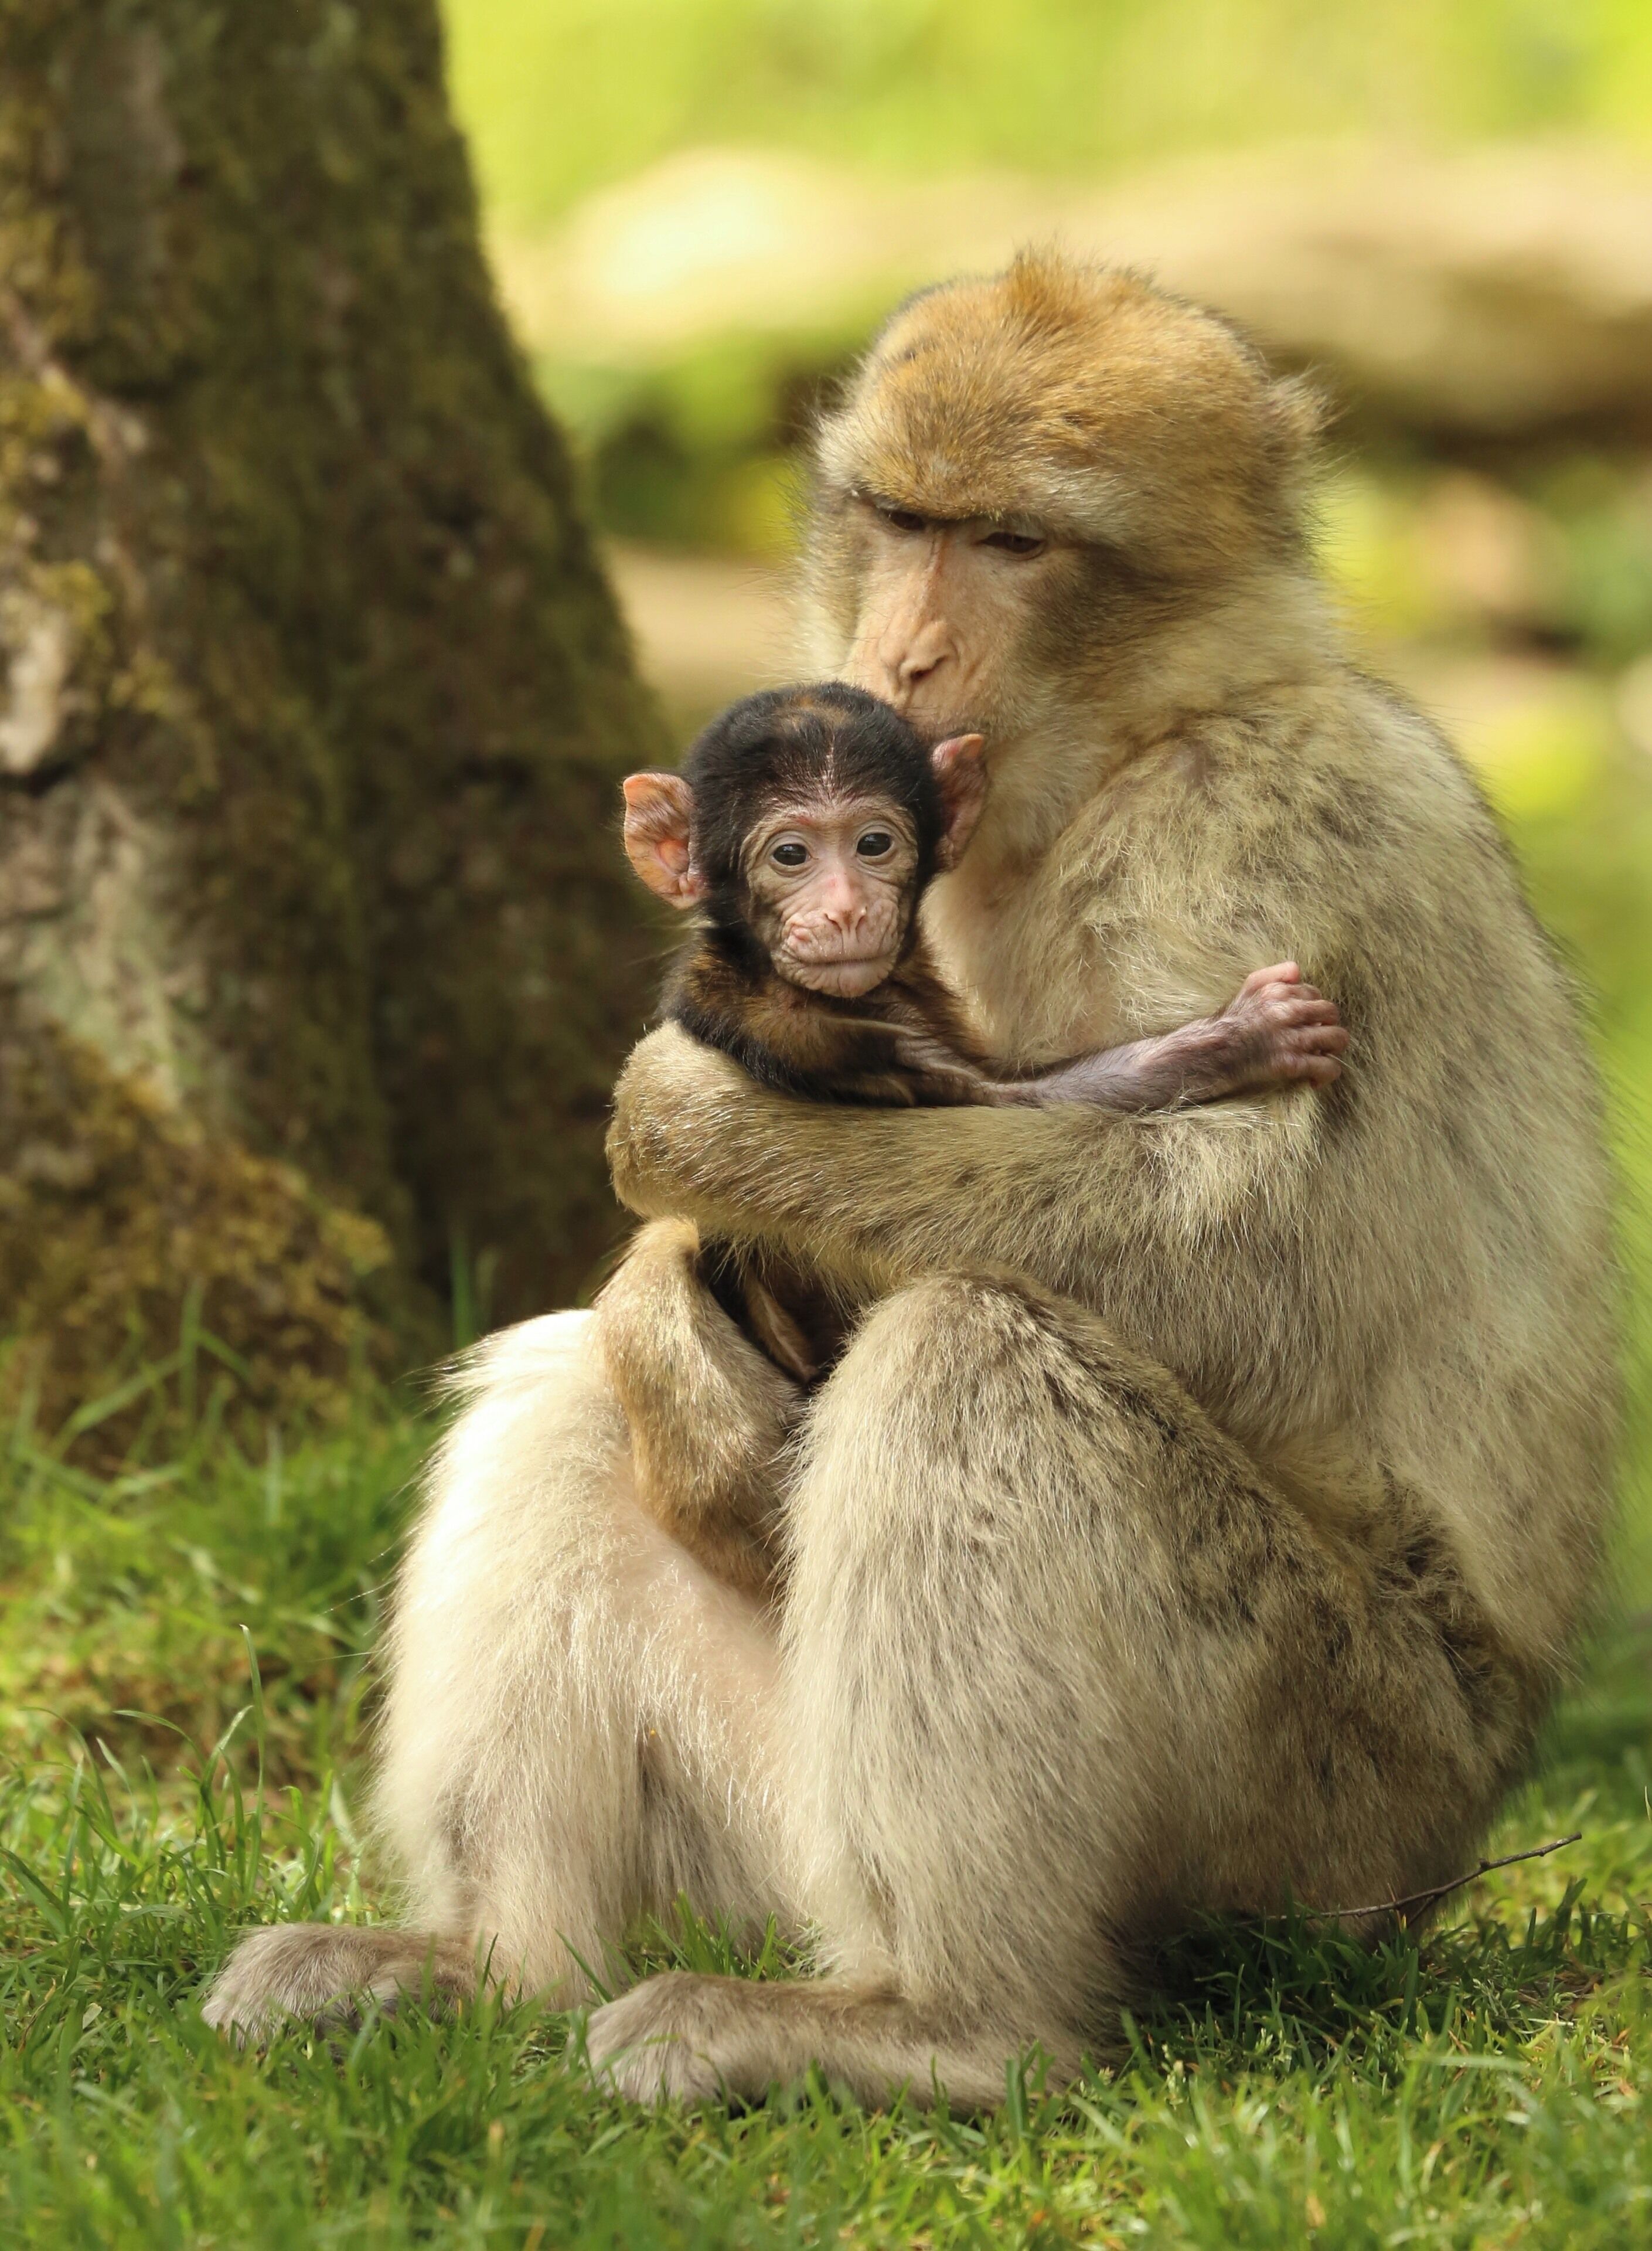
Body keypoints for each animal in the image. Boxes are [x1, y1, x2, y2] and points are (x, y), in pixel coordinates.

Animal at [204, 251, 1616, 2117]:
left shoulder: (1265, 828)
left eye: (1010, 541)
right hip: (767, 1826)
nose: (902, 649)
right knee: (563, 1390)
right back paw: (490, 1962)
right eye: (898, 519)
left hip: (1329, 1806)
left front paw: (685, 1124)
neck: (1131, 748)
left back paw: (948, 2025)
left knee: (973, 1353)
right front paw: (665, 1306)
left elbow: (1230, 1245)